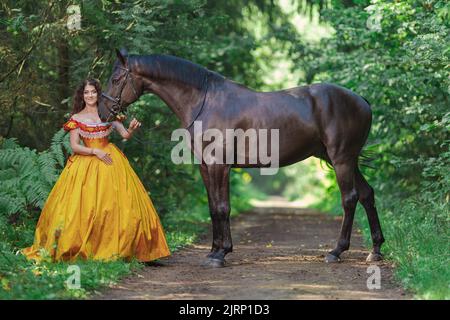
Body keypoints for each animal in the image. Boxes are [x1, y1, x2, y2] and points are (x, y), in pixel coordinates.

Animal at [97, 48, 384, 268]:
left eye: (116, 78)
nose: (101, 112)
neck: (204, 101)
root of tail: (362, 100)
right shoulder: (205, 166)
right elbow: (213, 207)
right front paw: (214, 251)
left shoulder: (219, 165)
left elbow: (223, 207)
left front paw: (220, 254)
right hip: (347, 160)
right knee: (367, 194)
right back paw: (375, 251)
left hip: (341, 159)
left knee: (350, 199)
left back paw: (336, 251)